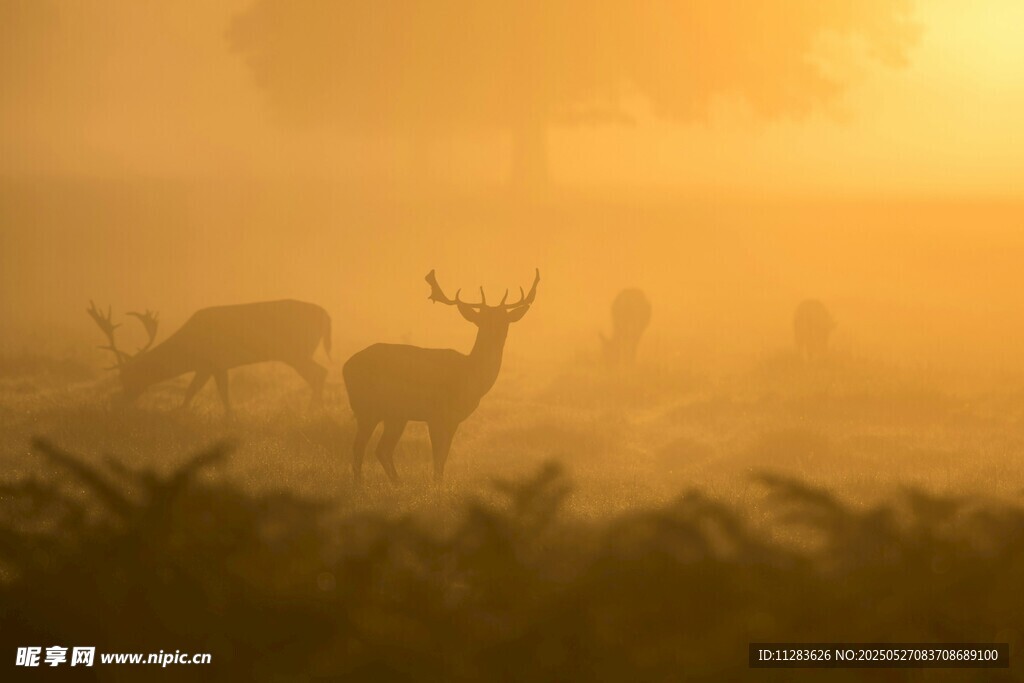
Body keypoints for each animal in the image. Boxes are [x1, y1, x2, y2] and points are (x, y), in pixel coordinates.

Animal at [87, 300, 332, 416]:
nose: (118, 404)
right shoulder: (207, 366)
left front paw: (228, 417)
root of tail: (326, 314)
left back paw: (312, 411)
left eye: (128, 377)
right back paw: (316, 410)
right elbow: (194, 391)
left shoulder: (216, 361)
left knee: (319, 372)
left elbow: (217, 392)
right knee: (320, 373)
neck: (189, 350)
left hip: (296, 352)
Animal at [343, 269, 539, 485]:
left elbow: (444, 455)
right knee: (359, 447)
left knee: (382, 449)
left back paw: (397, 482)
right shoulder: (436, 414)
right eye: (482, 320)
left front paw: (439, 483)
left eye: (505, 320)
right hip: (367, 407)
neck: (469, 376)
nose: (496, 334)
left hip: (395, 415)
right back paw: (360, 483)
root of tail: (346, 367)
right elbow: (437, 456)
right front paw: (437, 485)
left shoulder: (453, 419)